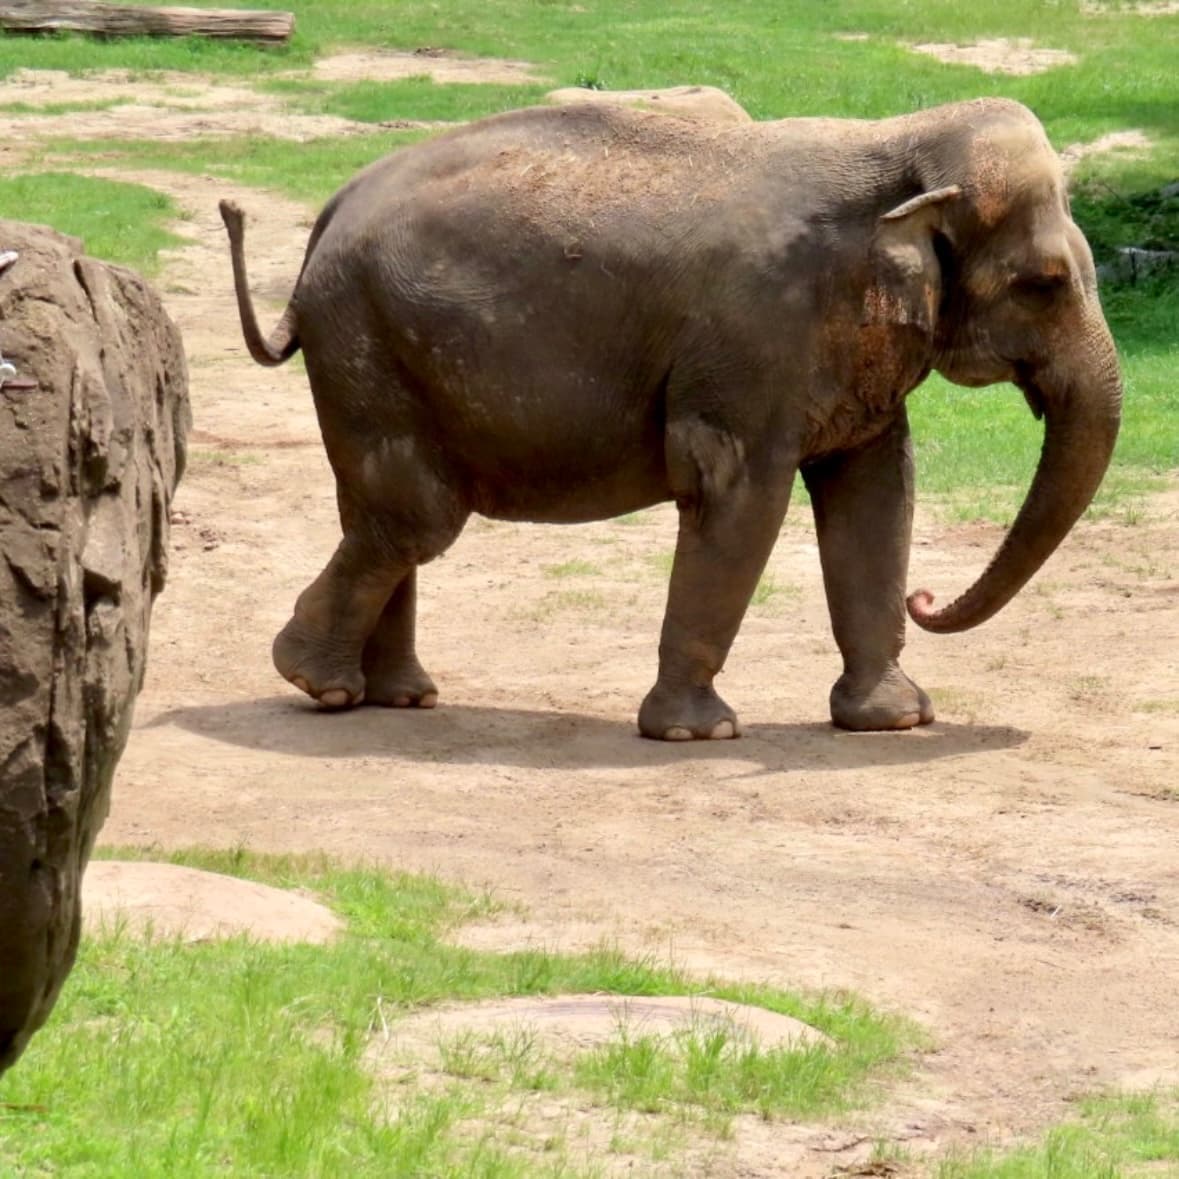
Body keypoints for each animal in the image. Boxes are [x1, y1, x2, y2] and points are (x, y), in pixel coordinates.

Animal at [220, 96, 1121, 741]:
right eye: (1043, 283)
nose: (926, 599)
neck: (893, 140)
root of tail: (327, 215)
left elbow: (876, 489)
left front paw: (893, 719)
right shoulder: (754, 336)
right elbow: (739, 493)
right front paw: (699, 733)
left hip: (370, 350)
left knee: (379, 511)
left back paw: (395, 697)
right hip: (366, 339)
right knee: (415, 514)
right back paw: (316, 679)